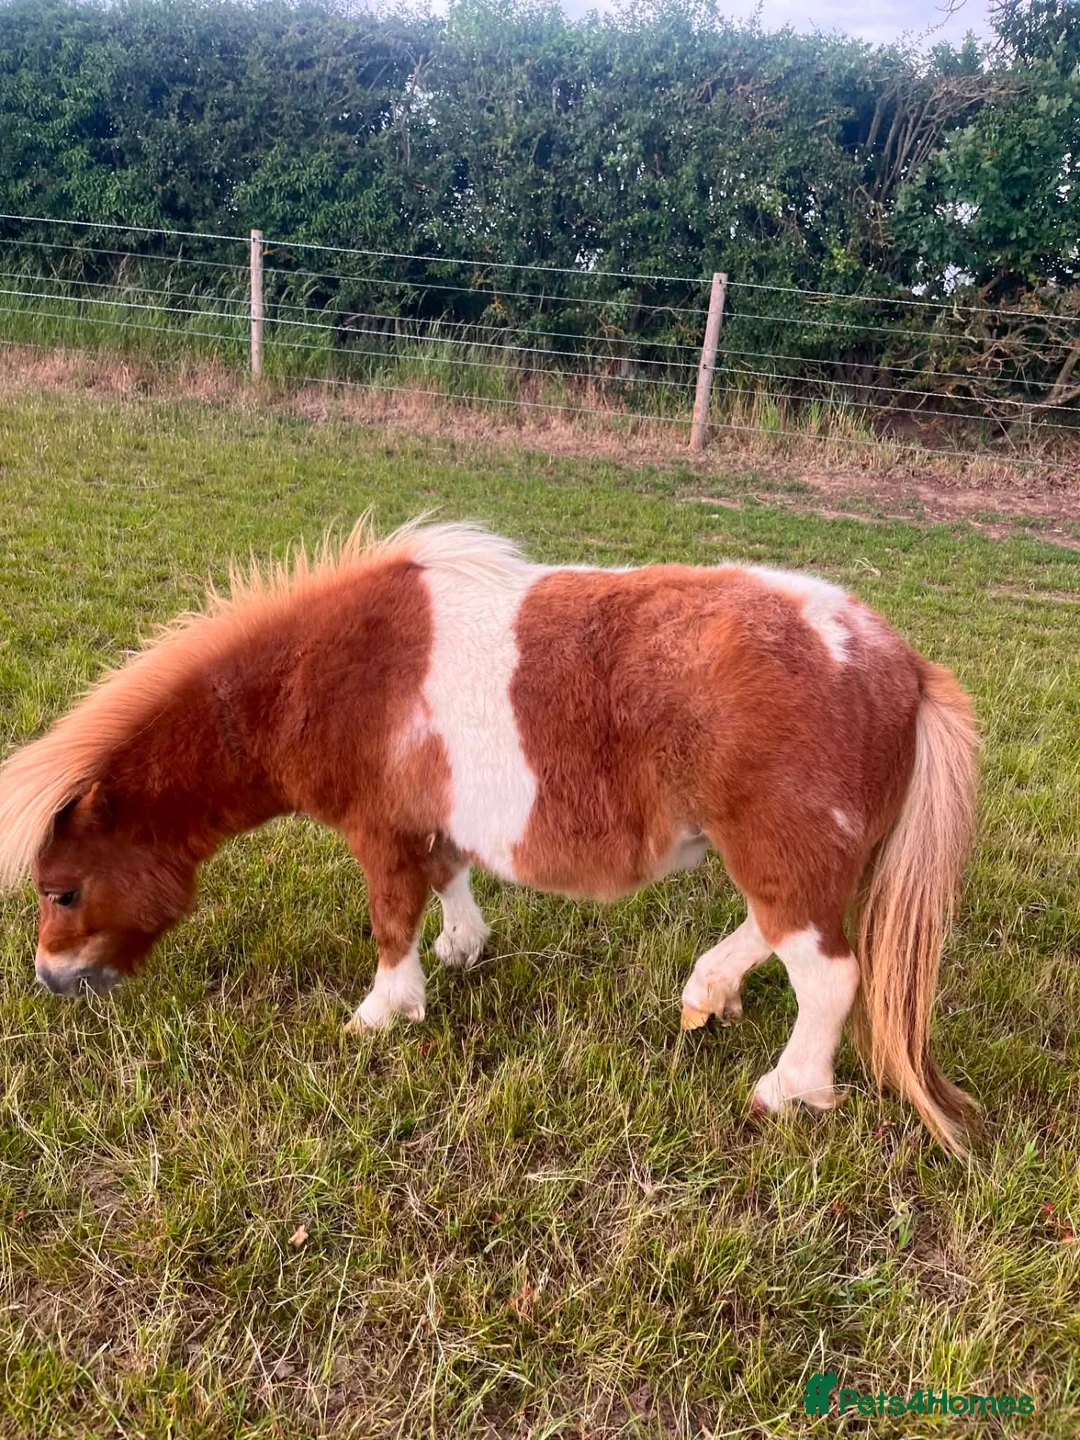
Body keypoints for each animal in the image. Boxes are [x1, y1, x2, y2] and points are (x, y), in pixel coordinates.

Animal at [0, 519, 979, 1152]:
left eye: (62, 890)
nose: (51, 980)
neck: (319, 675)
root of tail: (904, 666)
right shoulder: (426, 821)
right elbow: (449, 879)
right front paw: (463, 948)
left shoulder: (379, 830)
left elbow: (392, 921)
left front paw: (382, 1014)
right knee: (773, 938)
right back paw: (708, 992)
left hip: (783, 854)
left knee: (827, 973)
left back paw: (788, 1088)